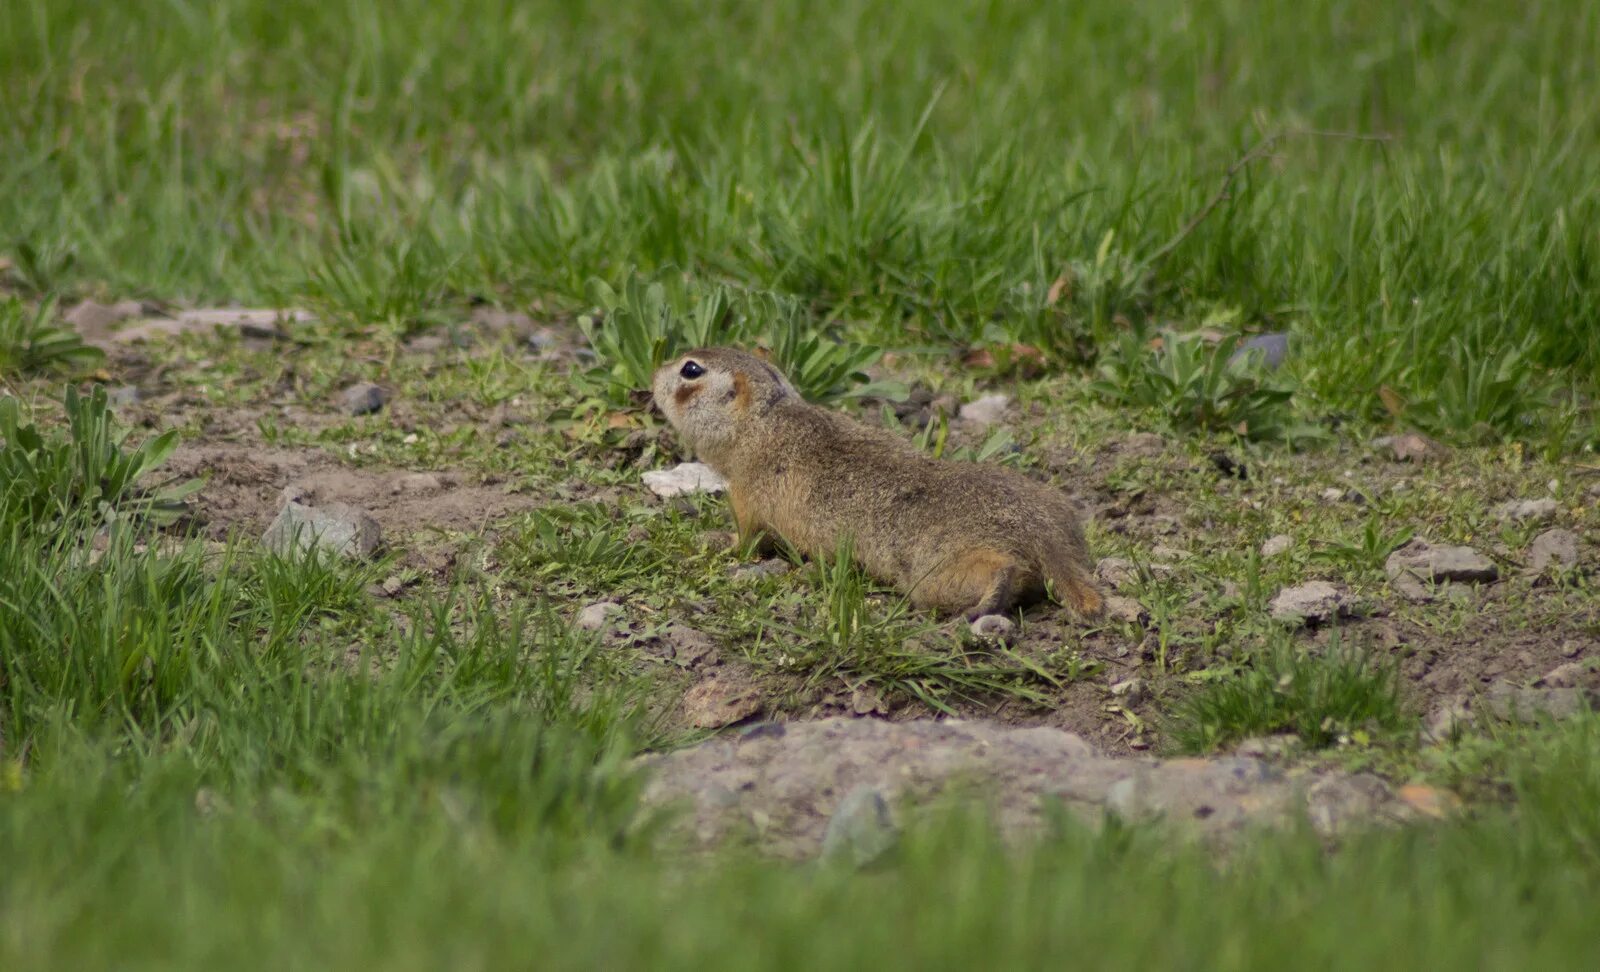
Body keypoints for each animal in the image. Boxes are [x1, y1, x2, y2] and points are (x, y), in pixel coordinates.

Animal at [646, 348, 1100, 620]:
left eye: (690, 370)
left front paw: (714, 540)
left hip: (935, 575)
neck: (767, 421)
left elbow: (747, 540)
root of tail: (1044, 534)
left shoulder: (745, 498)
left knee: (999, 570)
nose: (654, 372)